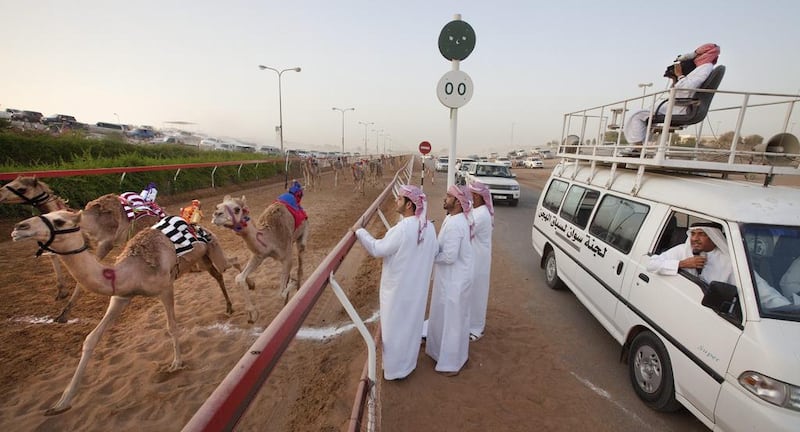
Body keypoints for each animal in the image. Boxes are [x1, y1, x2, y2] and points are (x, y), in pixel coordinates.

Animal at [11, 211, 183, 416]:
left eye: (59, 222)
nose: (19, 227)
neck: (134, 270)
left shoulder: (165, 287)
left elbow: (172, 326)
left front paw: (176, 363)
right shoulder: (120, 296)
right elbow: (91, 339)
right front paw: (61, 403)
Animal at [211, 196, 308, 324]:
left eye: (237, 209)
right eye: (217, 206)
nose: (216, 215)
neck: (270, 237)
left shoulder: (286, 257)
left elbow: (280, 294)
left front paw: (292, 283)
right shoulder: (259, 255)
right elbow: (239, 278)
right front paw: (252, 314)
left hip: (303, 232)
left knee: (300, 263)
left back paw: (298, 288)